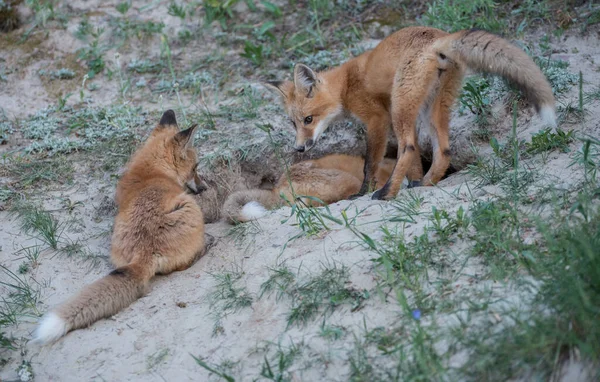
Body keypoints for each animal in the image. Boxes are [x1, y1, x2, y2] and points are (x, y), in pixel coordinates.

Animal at [33, 109, 211, 344]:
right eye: (195, 168)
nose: (205, 187)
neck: (153, 170)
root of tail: (145, 252)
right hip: (191, 209)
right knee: (183, 265)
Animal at [264, 26, 556, 200]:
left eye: (308, 119)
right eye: (293, 124)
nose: (299, 148)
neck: (346, 85)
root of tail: (437, 37)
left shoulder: (377, 119)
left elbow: (370, 164)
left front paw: (364, 192)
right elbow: (414, 165)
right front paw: (414, 180)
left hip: (401, 107)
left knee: (408, 147)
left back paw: (386, 193)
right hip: (430, 108)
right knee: (442, 150)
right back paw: (425, 184)